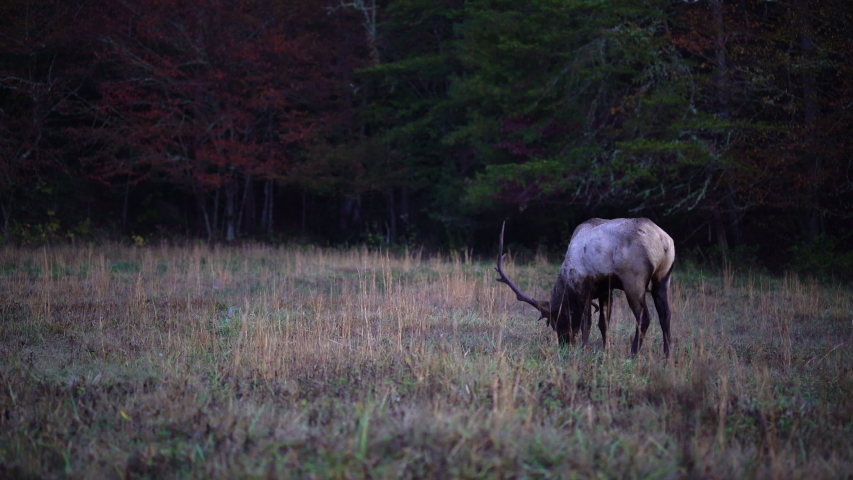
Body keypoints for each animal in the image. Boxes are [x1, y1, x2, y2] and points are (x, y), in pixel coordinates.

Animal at [495, 218, 675, 357]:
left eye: (557, 321)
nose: (564, 343)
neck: (567, 282)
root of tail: (663, 241)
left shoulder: (583, 287)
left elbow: (586, 323)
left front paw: (584, 349)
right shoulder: (606, 290)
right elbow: (603, 323)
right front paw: (606, 350)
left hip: (633, 280)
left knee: (644, 318)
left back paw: (633, 353)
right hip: (663, 279)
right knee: (665, 314)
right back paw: (667, 355)